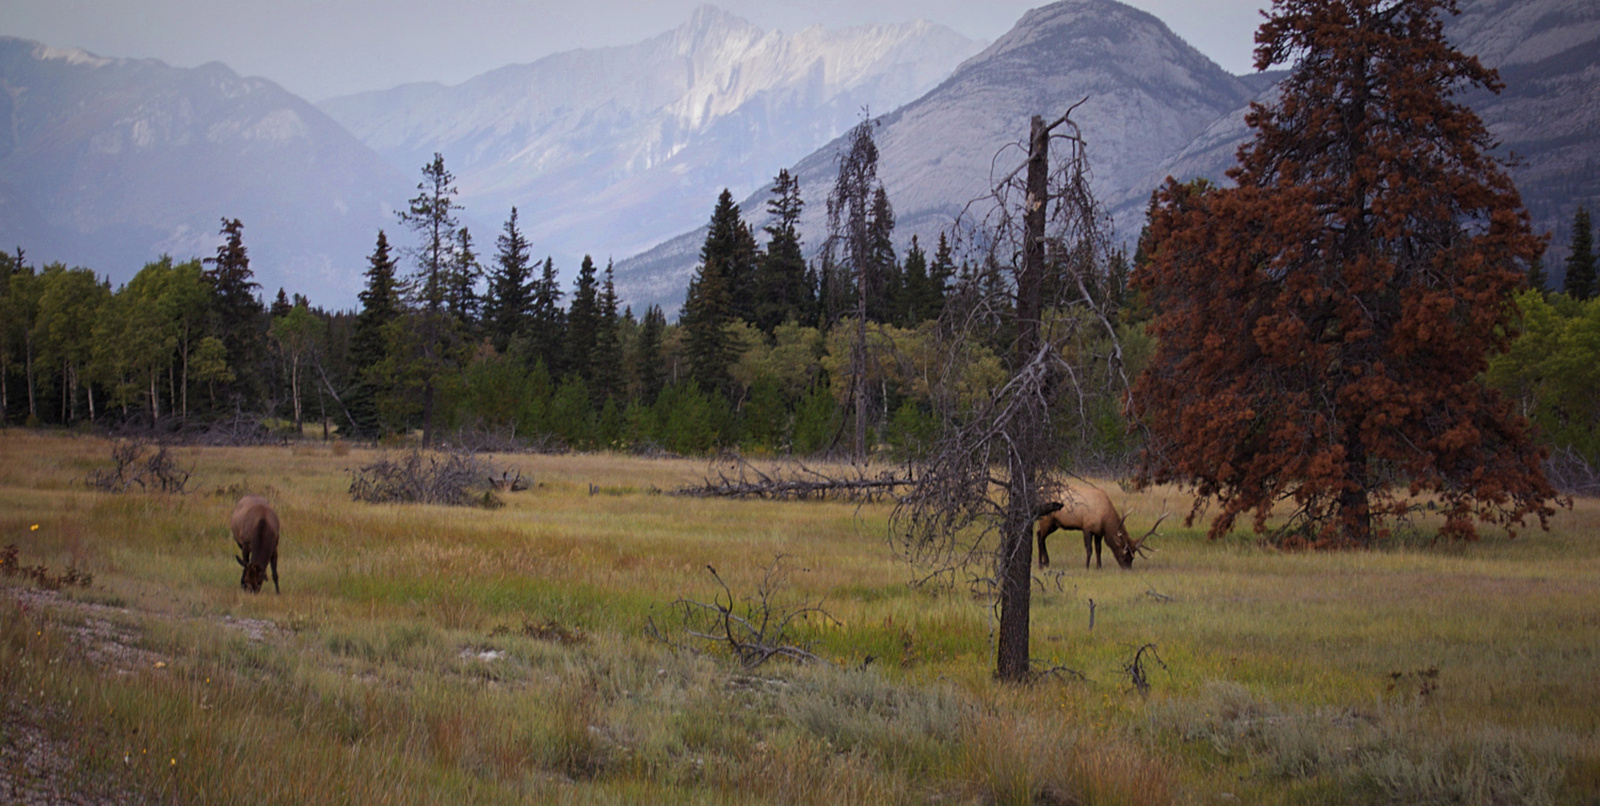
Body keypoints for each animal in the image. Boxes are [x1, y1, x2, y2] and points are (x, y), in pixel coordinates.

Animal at [1030, 486, 1158, 566]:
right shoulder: (1087, 527)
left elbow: (1098, 549)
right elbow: (1089, 549)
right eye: (1123, 554)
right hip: (1046, 520)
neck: (1104, 519)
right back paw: (1041, 564)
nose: (1127, 568)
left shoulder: (1099, 532)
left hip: (1054, 524)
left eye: (1133, 557)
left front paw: (1099, 566)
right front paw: (1087, 566)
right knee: (1040, 537)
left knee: (1040, 535)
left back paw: (1046, 562)